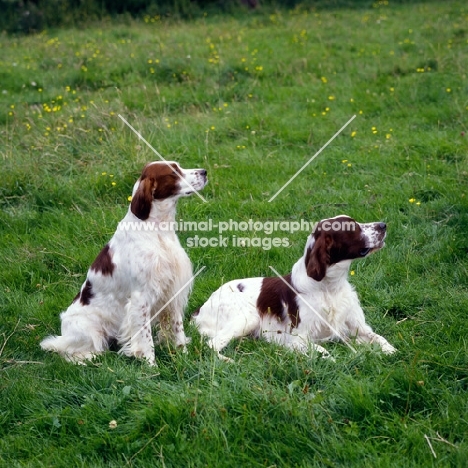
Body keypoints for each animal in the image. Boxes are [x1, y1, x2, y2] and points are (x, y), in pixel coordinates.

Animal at [40, 161, 208, 366]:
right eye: (174, 172)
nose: (204, 172)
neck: (157, 229)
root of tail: (63, 332)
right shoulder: (140, 299)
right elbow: (145, 338)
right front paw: (151, 366)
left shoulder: (172, 291)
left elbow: (177, 329)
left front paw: (183, 356)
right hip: (88, 329)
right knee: (71, 352)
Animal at [192, 214, 396, 360]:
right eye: (352, 227)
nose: (383, 225)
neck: (329, 288)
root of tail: (199, 310)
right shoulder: (297, 338)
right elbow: (321, 350)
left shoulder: (357, 327)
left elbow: (380, 338)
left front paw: (390, 351)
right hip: (247, 317)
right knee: (211, 345)